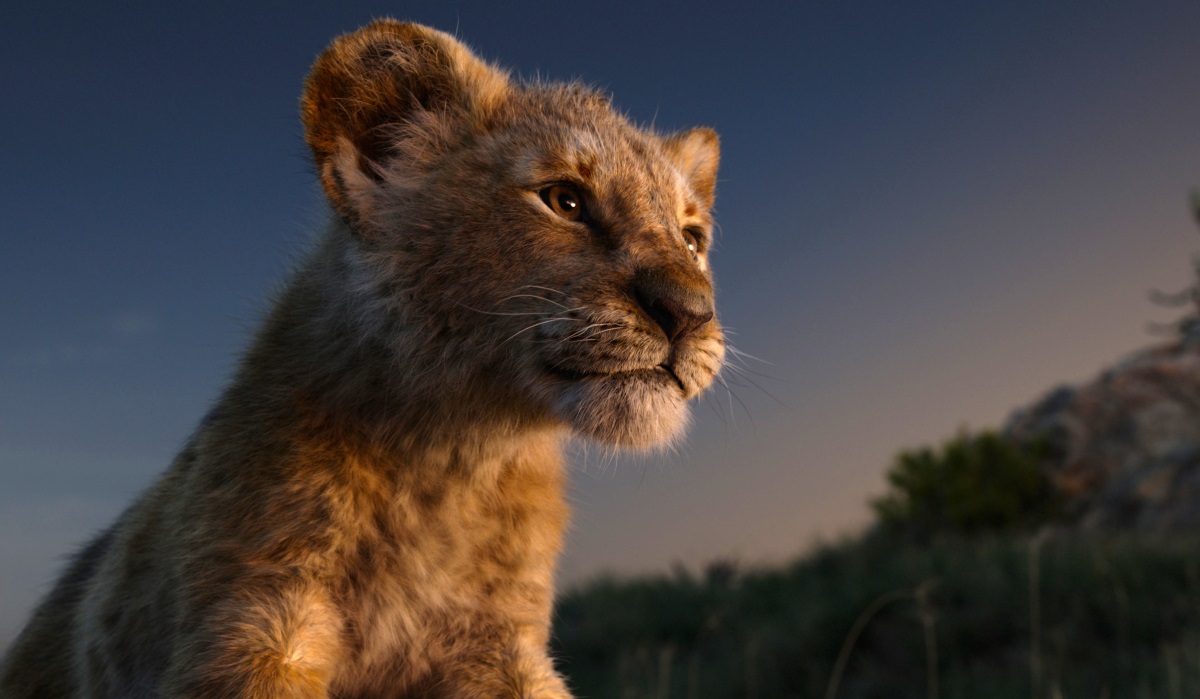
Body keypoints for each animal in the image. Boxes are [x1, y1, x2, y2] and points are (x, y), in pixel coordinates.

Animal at [0, 20, 724, 697]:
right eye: (565, 200)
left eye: (693, 238)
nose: (690, 311)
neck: (456, 459)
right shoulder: (254, 620)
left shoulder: (498, 643)